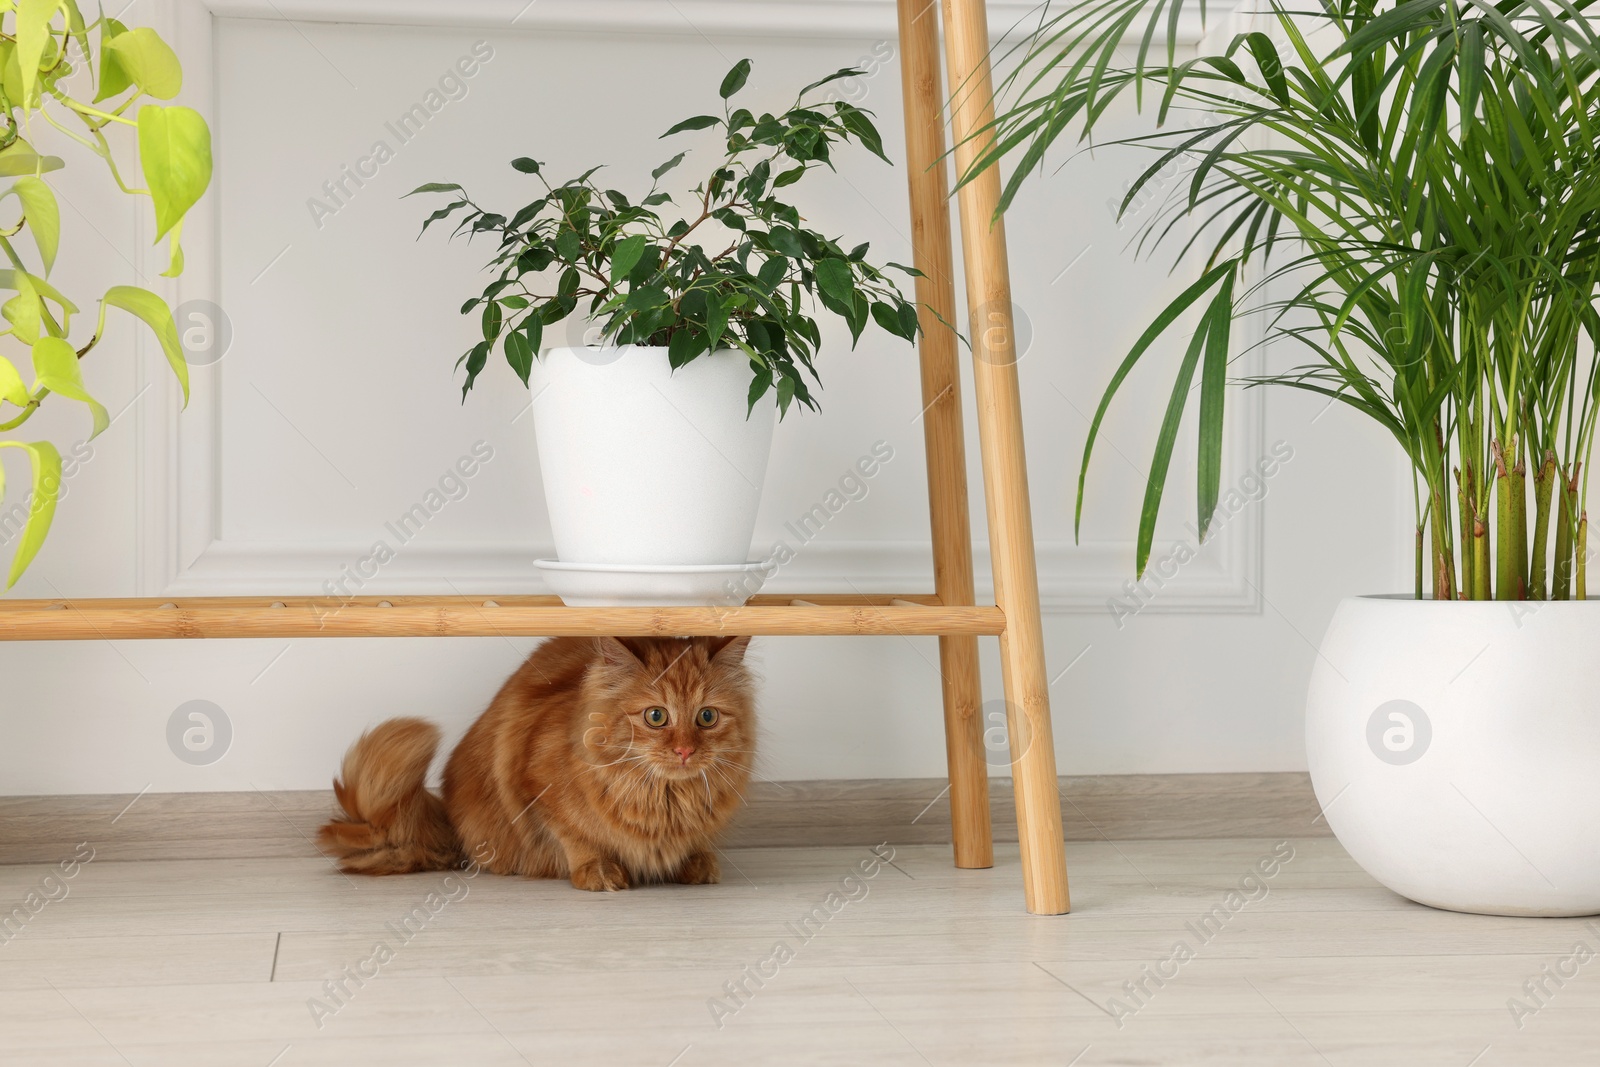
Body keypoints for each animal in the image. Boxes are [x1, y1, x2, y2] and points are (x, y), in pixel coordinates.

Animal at [320, 633, 761, 895]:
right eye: (656, 717)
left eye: (707, 717)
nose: (685, 751)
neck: (666, 800)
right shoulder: (536, 789)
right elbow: (577, 838)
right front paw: (598, 870)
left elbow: (695, 844)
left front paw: (695, 861)